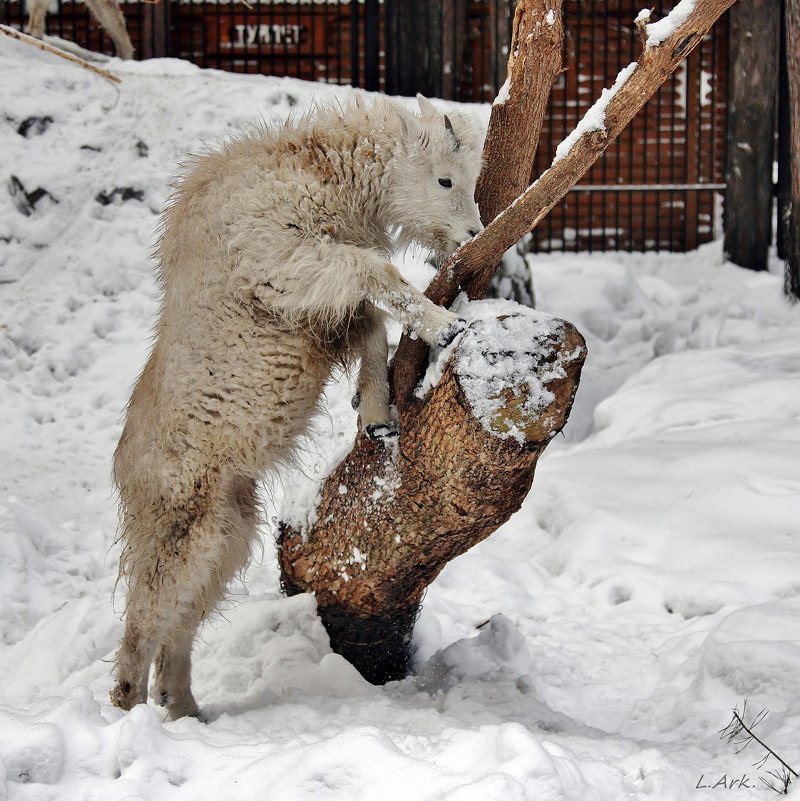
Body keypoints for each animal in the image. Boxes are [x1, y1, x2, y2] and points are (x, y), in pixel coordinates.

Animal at [111, 94, 482, 720]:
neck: (323, 171)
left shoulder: (322, 312)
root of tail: (124, 474)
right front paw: (446, 326)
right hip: (179, 523)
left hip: (228, 531)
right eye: (444, 178)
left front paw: (375, 414)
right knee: (146, 617)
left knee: (182, 618)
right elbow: (376, 275)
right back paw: (129, 707)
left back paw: (183, 707)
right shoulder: (288, 264)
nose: (472, 232)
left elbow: (371, 324)